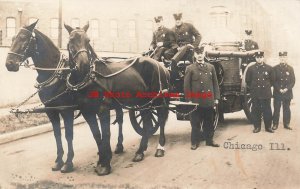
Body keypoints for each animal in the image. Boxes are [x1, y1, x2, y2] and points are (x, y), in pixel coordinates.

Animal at [5, 19, 125, 173]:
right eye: (13, 38)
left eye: (24, 38)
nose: (9, 64)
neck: (56, 73)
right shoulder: (51, 111)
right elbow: (57, 135)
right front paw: (58, 161)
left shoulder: (66, 110)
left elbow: (68, 135)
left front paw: (68, 163)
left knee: (120, 120)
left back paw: (119, 146)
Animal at [64, 22, 170, 176]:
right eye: (71, 40)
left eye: (88, 41)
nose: (83, 65)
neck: (91, 78)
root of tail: (161, 66)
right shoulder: (87, 112)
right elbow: (97, 136)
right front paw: (101, 161)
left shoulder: (103, 110)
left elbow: (106, 134)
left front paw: (105, 164)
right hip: (144, 103)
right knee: (147, 121)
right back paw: (140, 151)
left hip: (158, 100)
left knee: (161, 120)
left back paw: (160, 148)